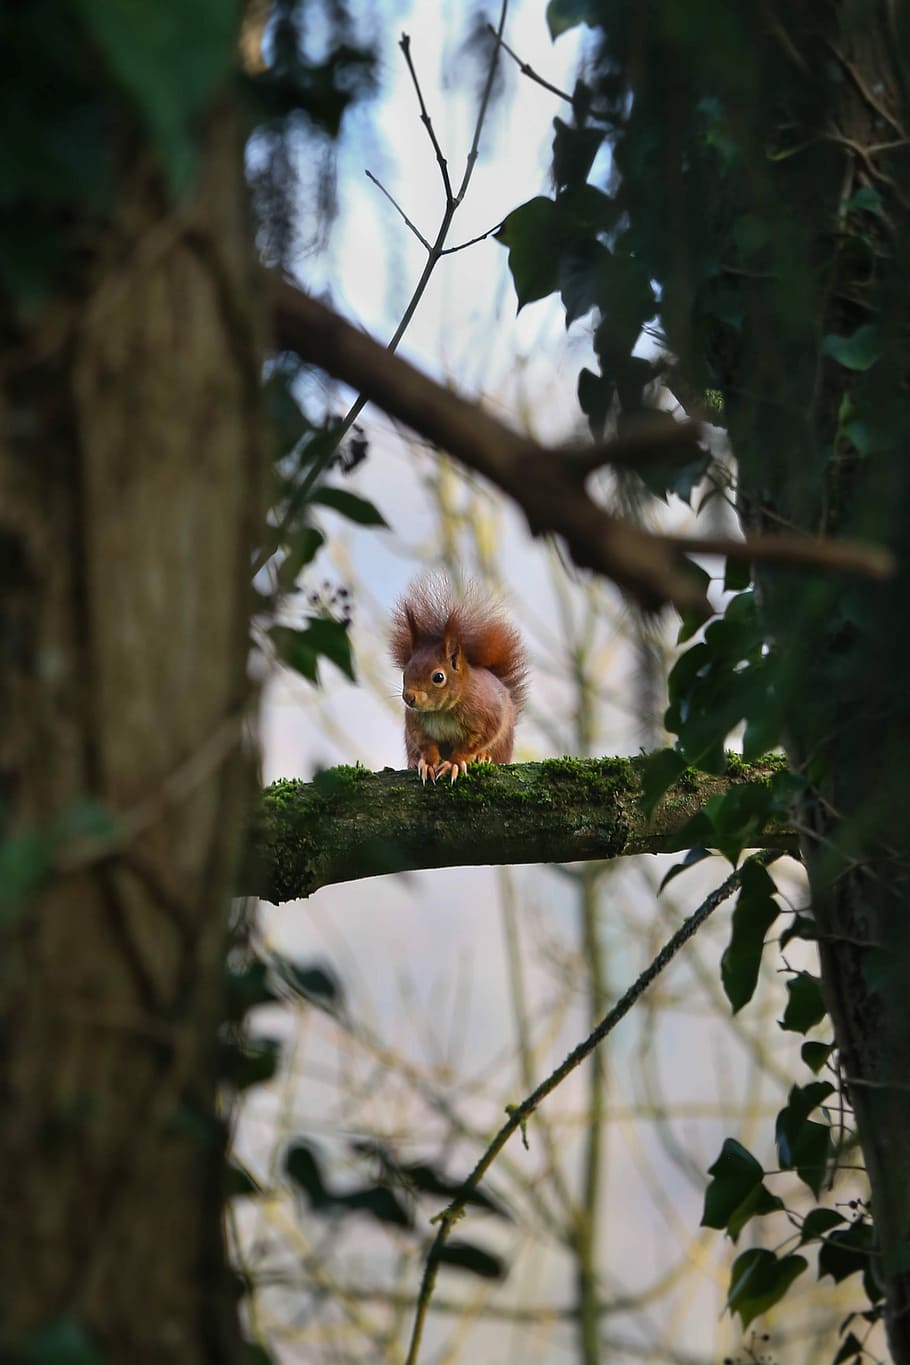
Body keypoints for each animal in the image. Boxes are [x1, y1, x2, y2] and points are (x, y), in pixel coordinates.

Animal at [390, 577, 527, 784]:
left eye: (438, 677)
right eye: (406, 670)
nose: (409, 697)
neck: (441, 711)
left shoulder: (487, 717)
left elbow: (472, 744)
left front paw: (454, 763)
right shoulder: (416, 724)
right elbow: (426, 744)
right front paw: (428, 763)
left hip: (503, 744)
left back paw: (484, 757)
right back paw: (414, 761)